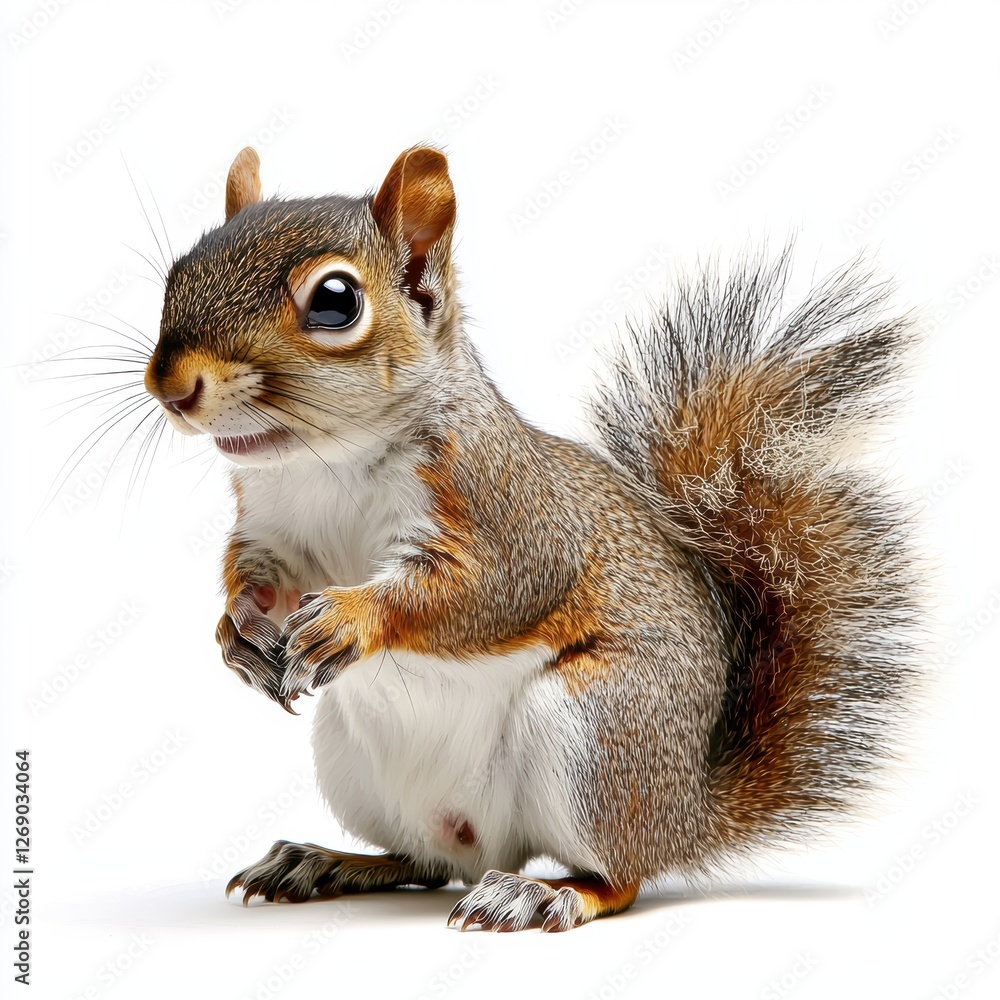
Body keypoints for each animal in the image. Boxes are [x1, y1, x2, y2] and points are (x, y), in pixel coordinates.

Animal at [142, 145, 919, 932]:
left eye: (336, 301)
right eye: (177, 273)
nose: (172, 387)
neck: (321, 465)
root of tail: (689, 814)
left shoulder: (514, 514)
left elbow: (492, 591)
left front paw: (351, 618)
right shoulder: (271, 529)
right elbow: (257, 577)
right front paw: (236, 632)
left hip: (597, 732)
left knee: (618, 875)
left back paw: (543, 893)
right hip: (353, 764)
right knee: (425, 863)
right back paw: (326, 861)